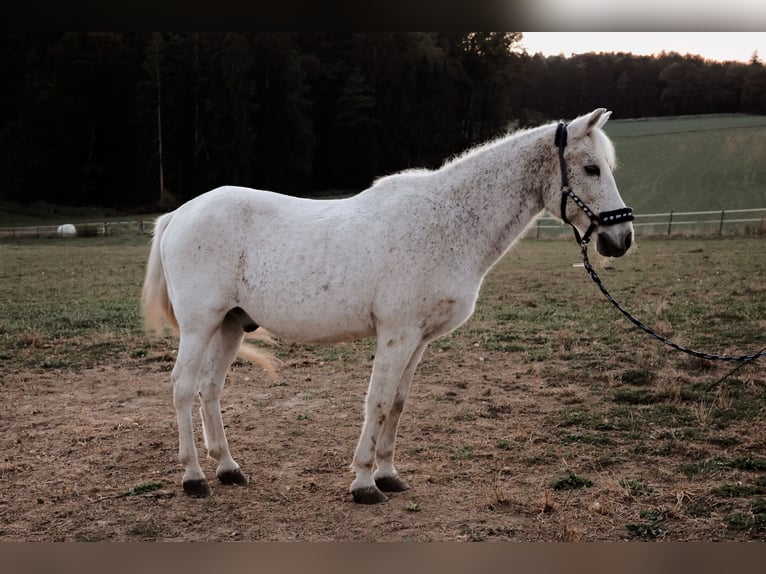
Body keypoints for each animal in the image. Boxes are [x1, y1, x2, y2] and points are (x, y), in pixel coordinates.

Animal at [141, 108, 634, 504]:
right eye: (591, 168)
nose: (622, 238)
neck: (446, 222)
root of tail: (179, 214)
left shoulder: (418, 339)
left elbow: (396, 403)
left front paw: (388, 475)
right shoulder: (396, 334)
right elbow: (376, 401)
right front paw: (363, 483)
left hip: (229, 325)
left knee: (210, 390)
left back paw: (228, 469)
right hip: (200, 326)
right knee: (183, 387)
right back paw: (194, 477)